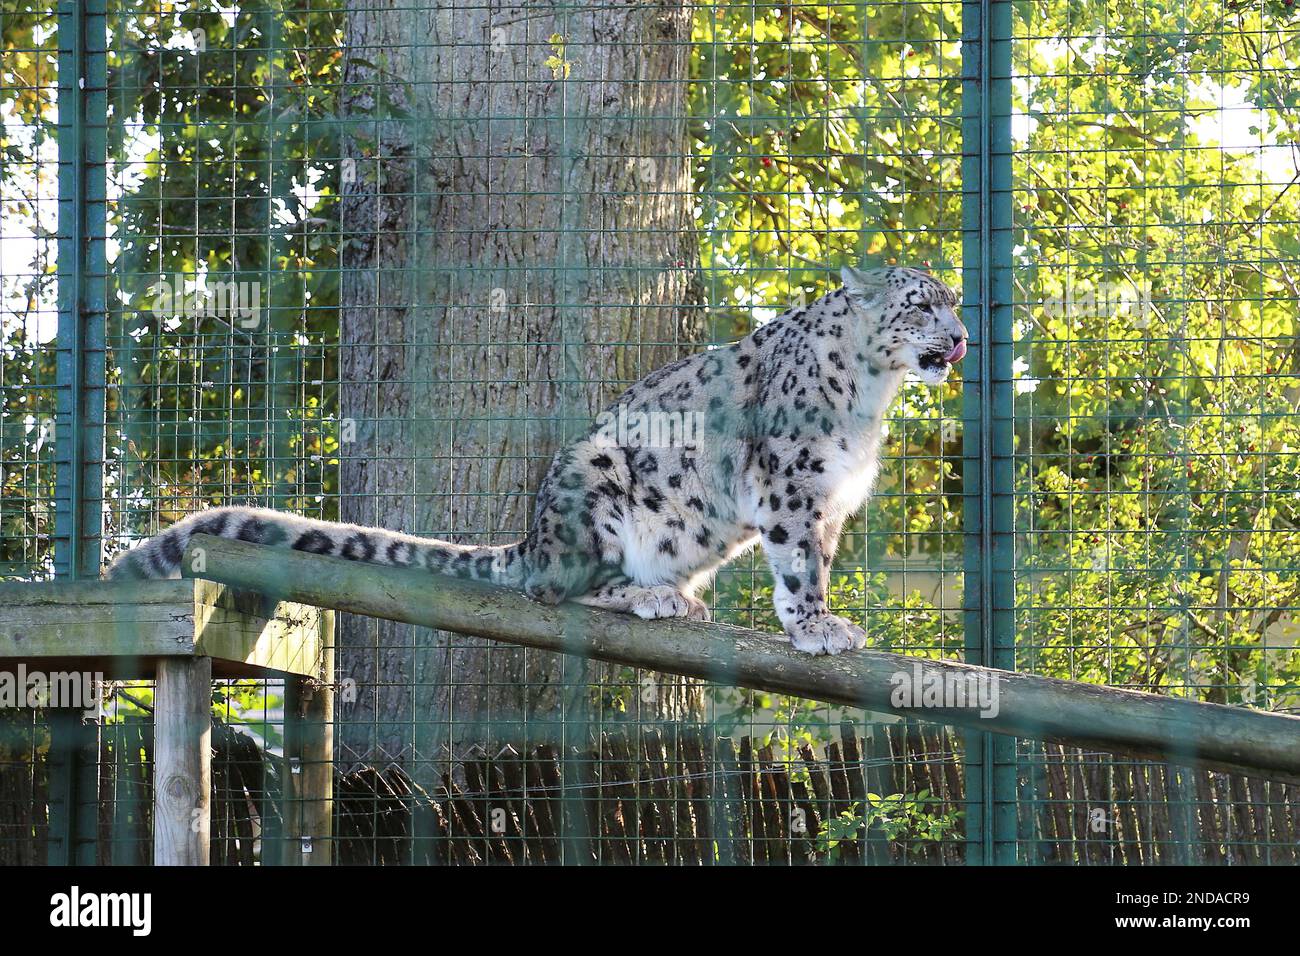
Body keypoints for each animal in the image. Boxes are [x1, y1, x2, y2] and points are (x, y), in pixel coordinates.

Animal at [109, 265, 967, 655]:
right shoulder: (790, 484)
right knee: (558, 592)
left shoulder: (830, 499)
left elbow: (816, 555)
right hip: (598, 480)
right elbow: (798, 565)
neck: (874, 394)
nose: (960, 336)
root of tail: (532, 538)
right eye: (920, 303)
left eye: (951, 301)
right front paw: (818, 625)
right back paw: (651, 596)